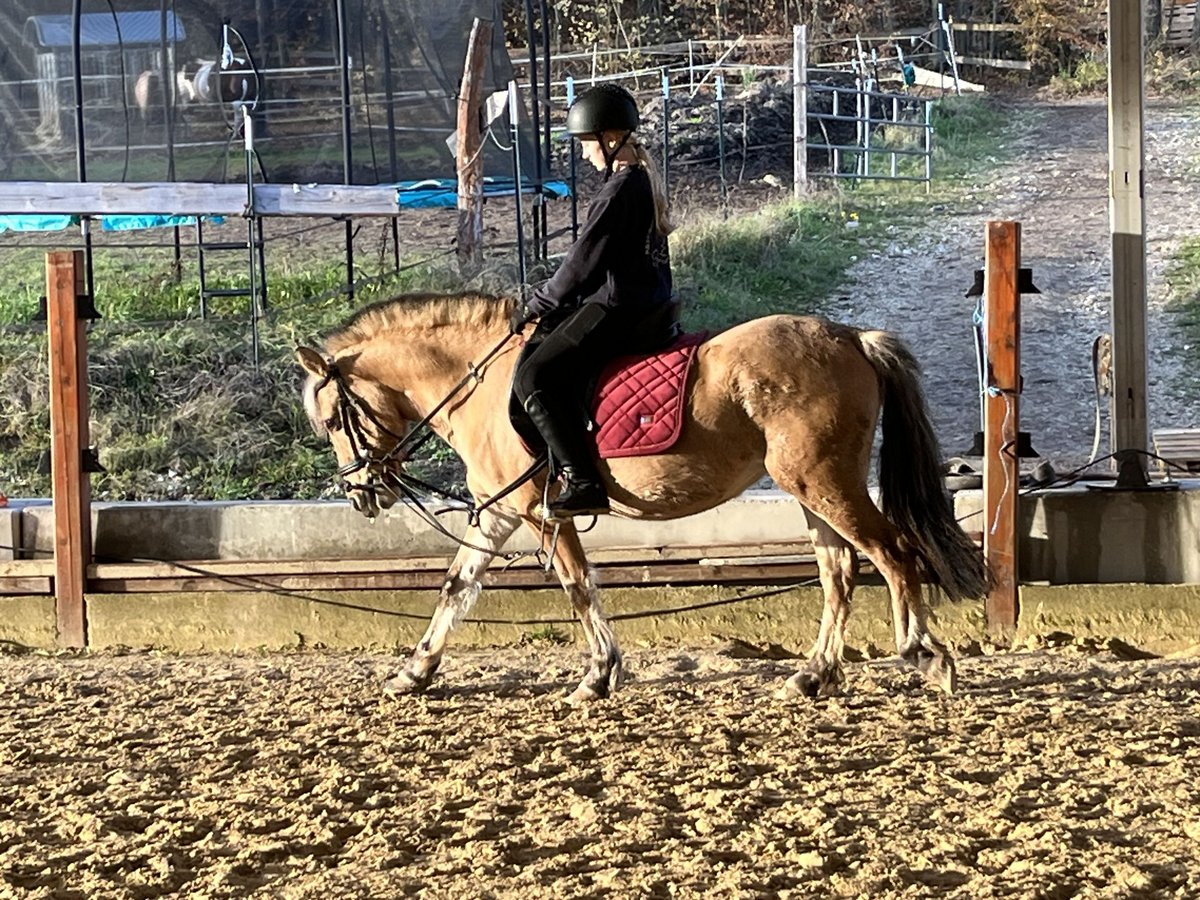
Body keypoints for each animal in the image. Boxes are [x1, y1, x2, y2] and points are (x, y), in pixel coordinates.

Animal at [295, 292, 990, 704]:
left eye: (331, 420)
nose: (361, 494)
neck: (480, 385)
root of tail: (849, 337)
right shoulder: (496, 512)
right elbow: (455, 587)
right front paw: (414, 673)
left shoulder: (541, 512)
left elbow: (577, 587)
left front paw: (599, 675)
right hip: (809, 490)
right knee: (839, 572)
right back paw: (814, 675)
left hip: (825, 482)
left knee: (893, 554)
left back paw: (924, 656)